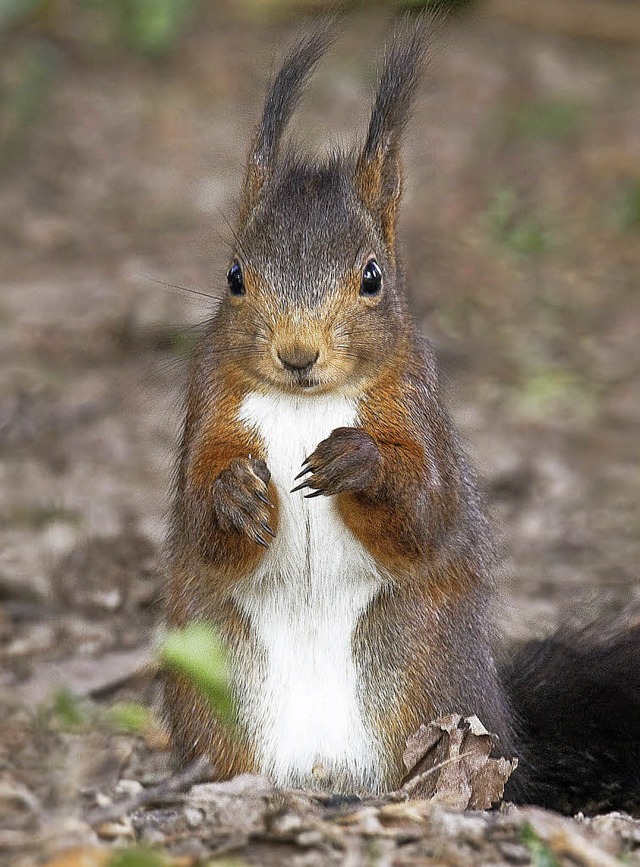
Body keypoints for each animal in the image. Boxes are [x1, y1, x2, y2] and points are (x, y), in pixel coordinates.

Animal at [165, 15, 640, 812]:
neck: (307, 403)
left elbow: (427, 512)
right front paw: (235, 493)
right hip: (218, 685)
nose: (297, 354)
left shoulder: (418, 406)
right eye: (233, 276)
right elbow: (199, 525)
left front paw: (359, 461)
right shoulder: (208, 410)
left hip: (419, 667)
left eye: (372, 277)